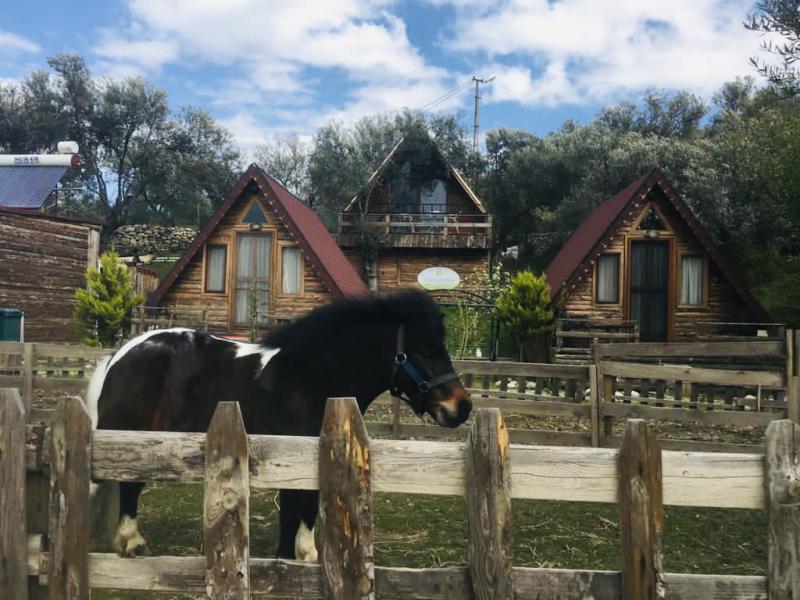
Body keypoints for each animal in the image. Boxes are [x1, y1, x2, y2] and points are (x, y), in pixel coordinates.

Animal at [87, 292, 472, 560]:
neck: (314, 377)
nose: (462, 406)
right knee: (129, 487)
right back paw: (132, 543)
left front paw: (295, 557)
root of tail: (119, 355)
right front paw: (298, 556)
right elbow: (299, 508)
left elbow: (297, 511)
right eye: (427, 351)